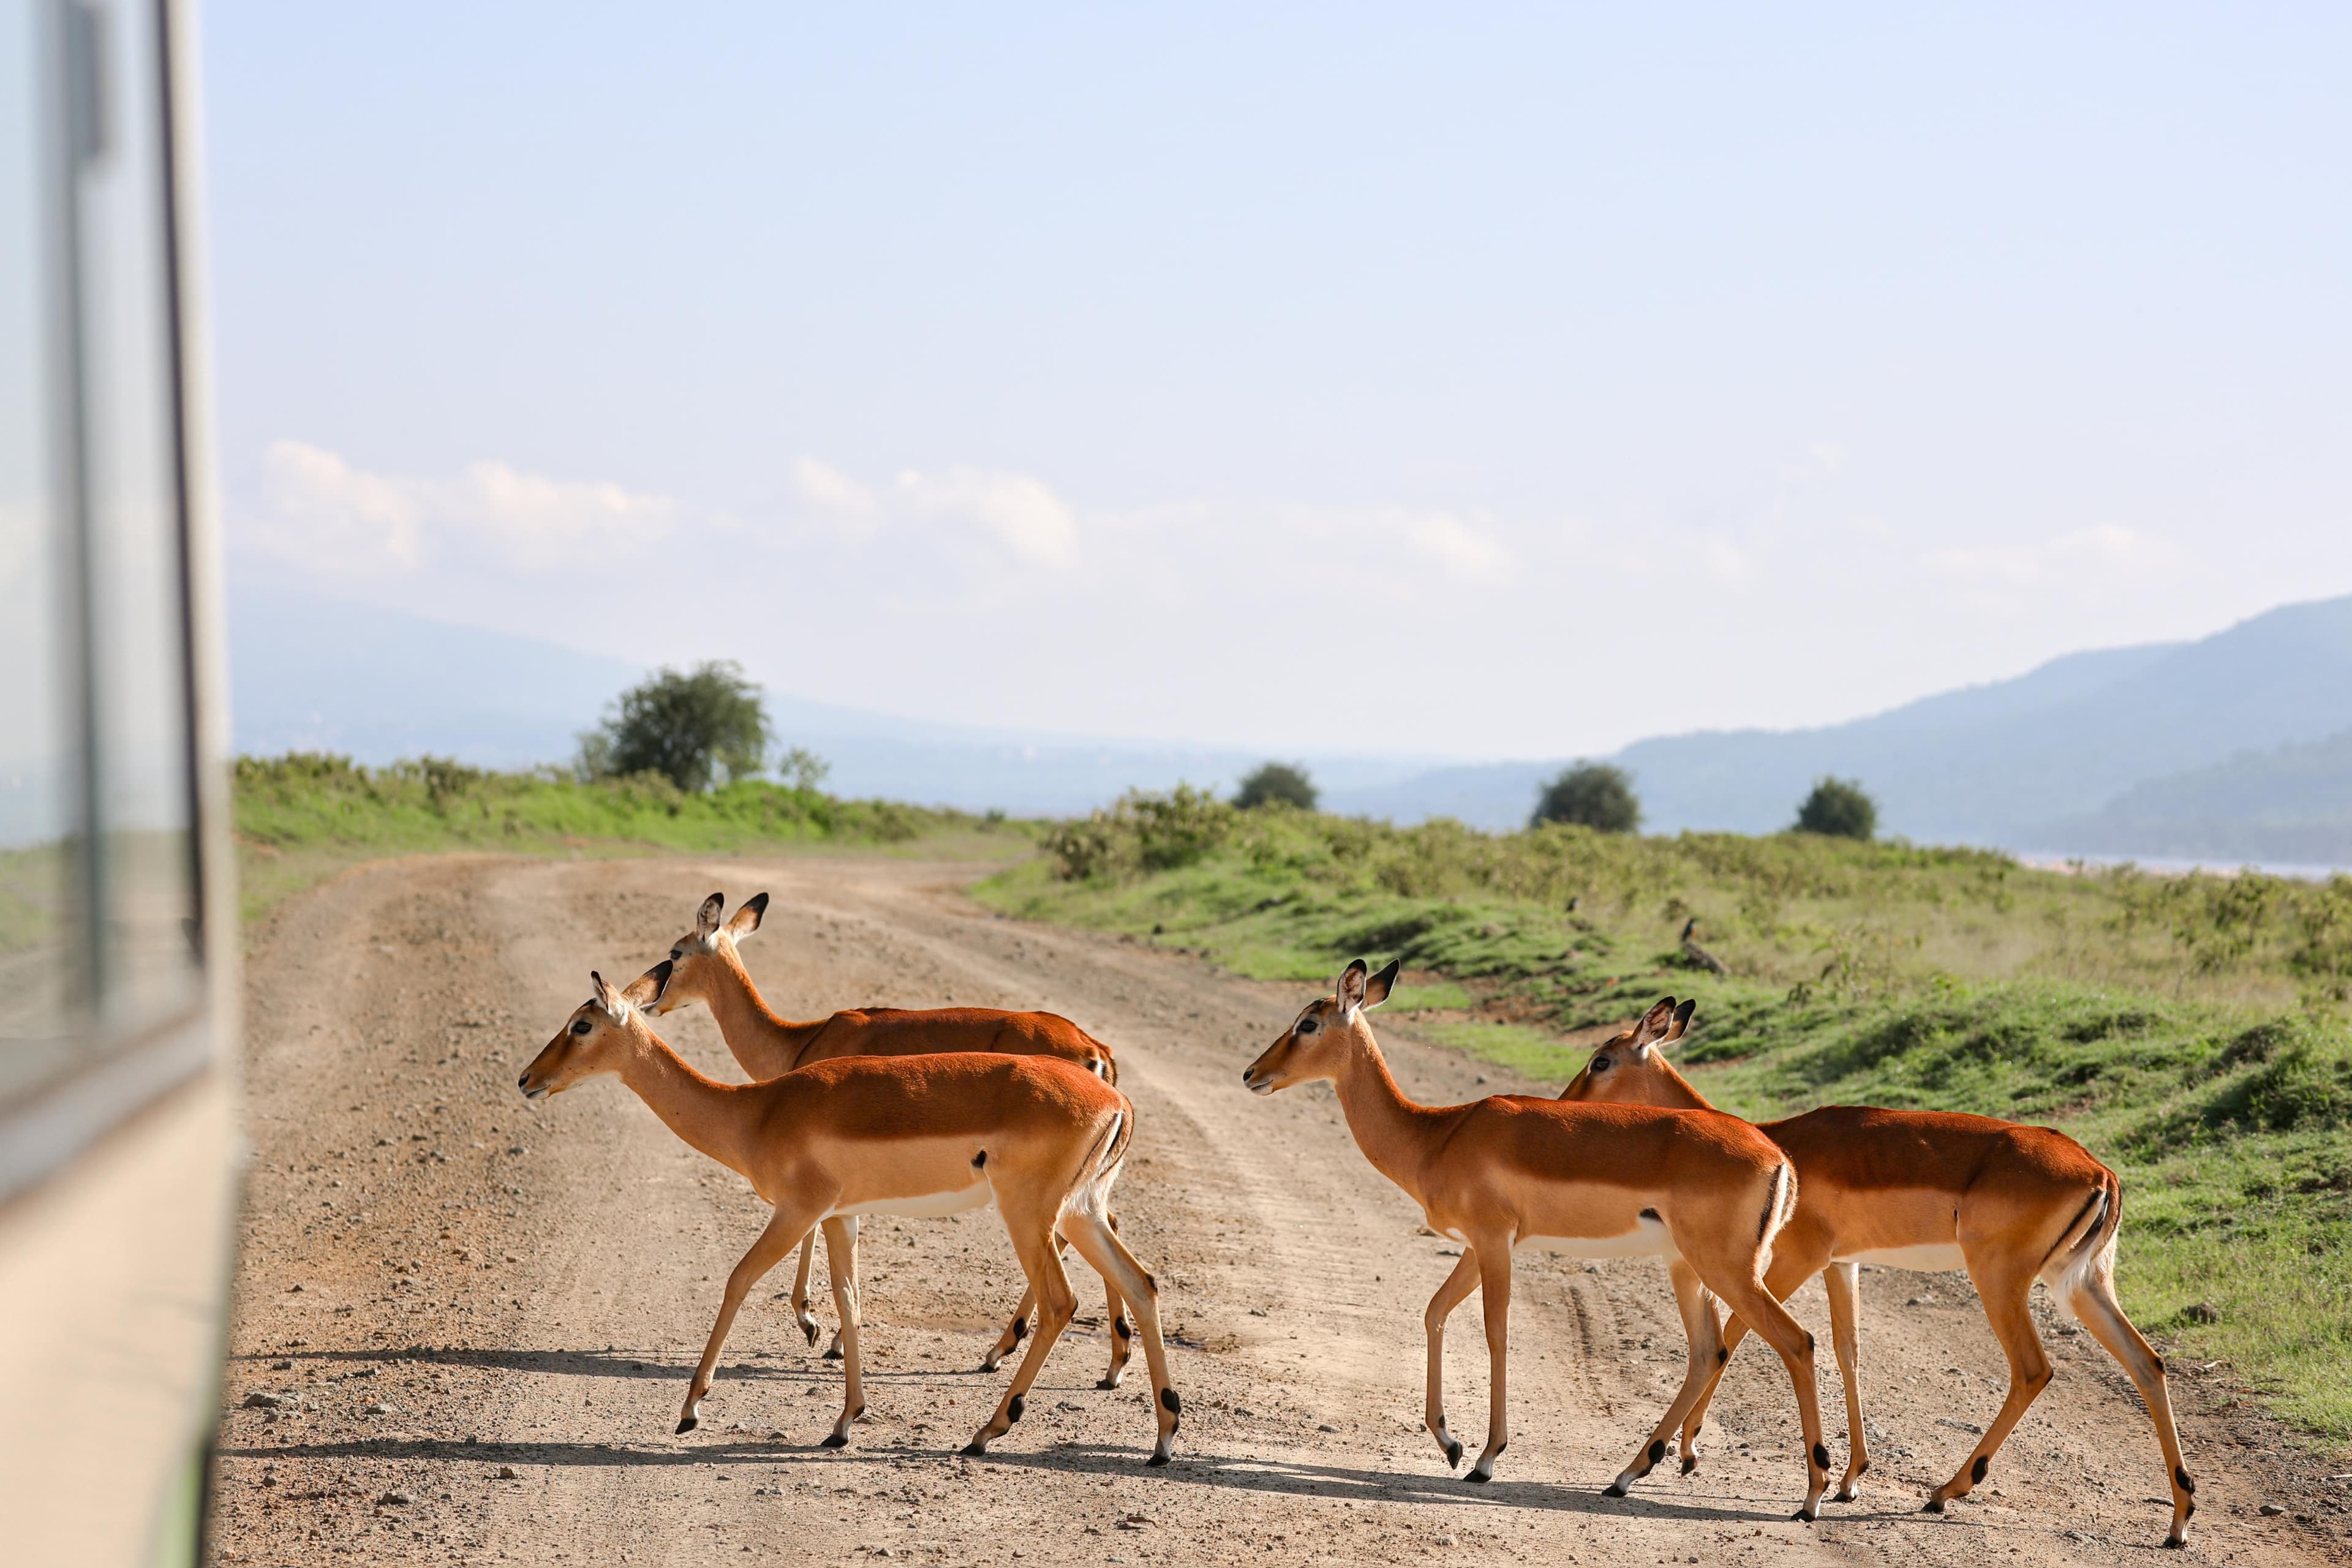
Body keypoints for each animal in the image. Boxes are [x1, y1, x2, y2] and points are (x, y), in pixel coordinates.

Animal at [516, 964, 1180, 1463]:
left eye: (582, 1024)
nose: (527, 1078)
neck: (756, 1112)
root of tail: (1114, 1093)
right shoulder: (841, 1217)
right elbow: (849, 1300)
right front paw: (844, 1422)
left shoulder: (796, 1212)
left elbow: (738, 1279)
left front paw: (690, 1410)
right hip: (1080, 1212)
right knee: (1140, 1282)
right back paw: (1162, 1437)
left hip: (1031, 1215)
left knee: (1061, 1301)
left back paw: (986, 1432)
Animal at [646, 892, 1129, 1381]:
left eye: (676, 953)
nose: (650, 1004)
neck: (801, 1041)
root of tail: (1097, 1050)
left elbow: (813, 1232)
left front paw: (813, 1323)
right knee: (1108, 1227)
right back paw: (1107, 1364)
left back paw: (1010, 1351)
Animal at [1243, 960, 1834, 1518]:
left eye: (1309, 1023)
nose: (1252, 1073)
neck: (1438, 1136)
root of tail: (1779, 1158)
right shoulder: (1477, 1245)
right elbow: (1435, 1312)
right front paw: (1450, 1444)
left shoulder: (1493, 1240)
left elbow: (1495, 1333)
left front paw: (1484, 1459)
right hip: (1689, 1269)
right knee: (1710, 1350)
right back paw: (1626, 1476)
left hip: (1728, 1270)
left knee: (1797, 1341)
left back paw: (1811, 1496)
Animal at [1560, 997, 2195, 1548]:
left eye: (1601, 1060)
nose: (1567, 1104)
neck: (1773, 1143)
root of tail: (2101, 1172)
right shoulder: (1843, 1264)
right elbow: (1849, 1349)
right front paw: (1848, 1481)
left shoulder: (1795, 1259)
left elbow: (1739, 1337)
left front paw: (1686, 1454)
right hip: (2084, 1284)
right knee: (2148, 1362)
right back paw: (2179, 1522)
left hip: (2001, 1281)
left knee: (2033, 1370)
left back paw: (1944, 1491)